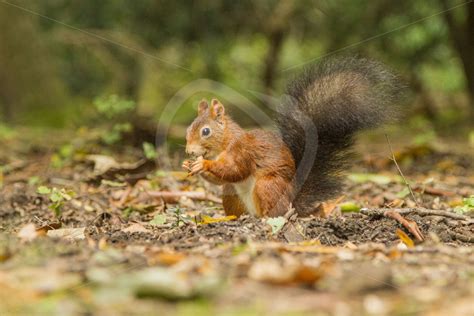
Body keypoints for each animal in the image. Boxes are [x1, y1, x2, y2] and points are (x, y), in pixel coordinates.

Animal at [181, 57, 404, 217]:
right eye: (188, 130)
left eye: (206, 131)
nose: (189, 151)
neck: (223, 143)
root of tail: (291, 202)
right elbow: (221, 179)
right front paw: (188, 165)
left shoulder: (242, 151)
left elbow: (235, 170)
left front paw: (203, 164)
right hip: (232, 195)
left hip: (268, 186)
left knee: (273, 211)